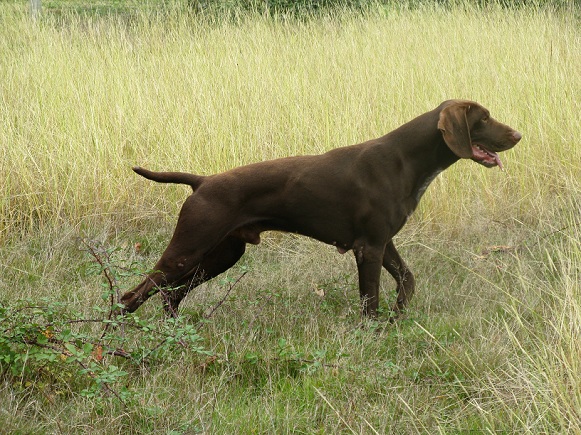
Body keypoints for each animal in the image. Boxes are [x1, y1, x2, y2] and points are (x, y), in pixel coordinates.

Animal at [120, 101, 520, 320]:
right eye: (484, 118)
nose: (518, 135)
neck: (406, 159)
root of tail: (202, 181)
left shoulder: (382, 241)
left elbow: (407, 280)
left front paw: (397, 317)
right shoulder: (368, 247)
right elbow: (370, 300)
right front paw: (373, 334)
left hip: (222, 254)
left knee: (171, 296)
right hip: (187, 251)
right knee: (132, 296)